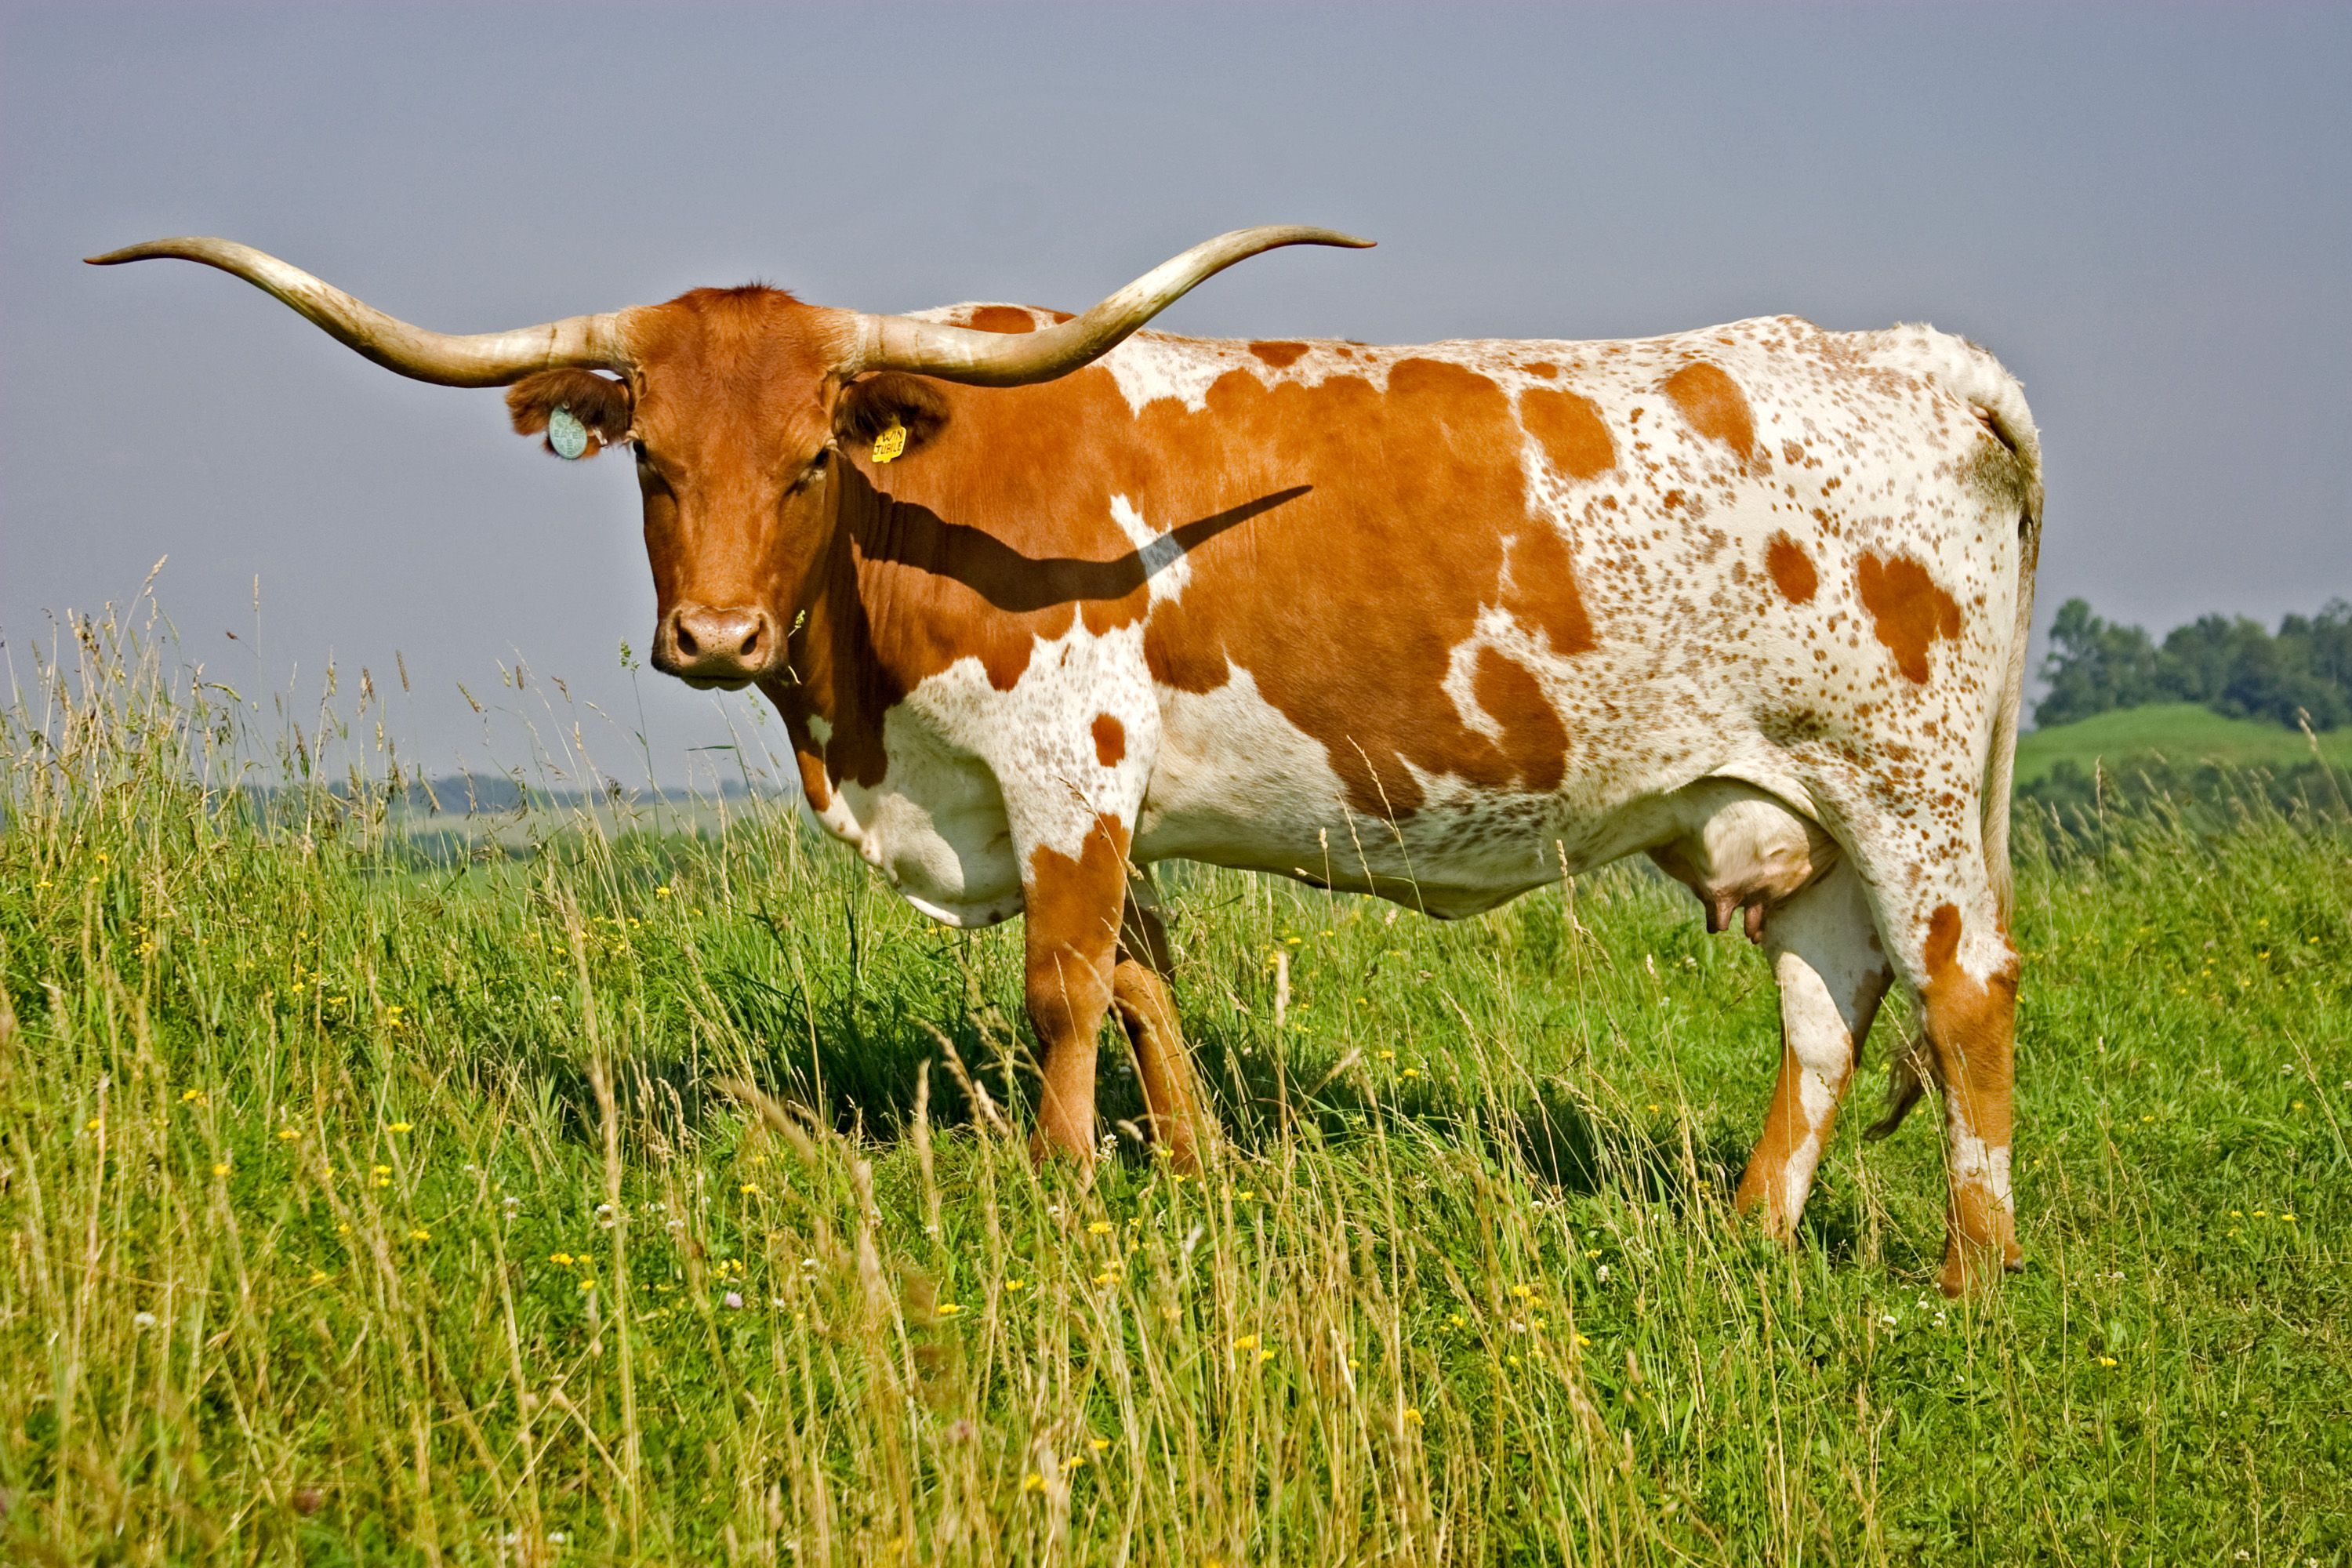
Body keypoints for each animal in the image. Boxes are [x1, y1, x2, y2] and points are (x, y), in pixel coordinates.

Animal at [92, 228, 2042, 1294]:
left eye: (812, 455)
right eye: (650, 456)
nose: (711, 635)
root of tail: (1917, 360)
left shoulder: (1067, 767)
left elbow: (1059, 983)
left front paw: (1062, 1191)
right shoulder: (1107, 805)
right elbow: (1149, 982)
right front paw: (1188, 1185)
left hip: (1909, 787)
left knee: (1965, 991)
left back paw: (1968, 1275)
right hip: (1792, 806)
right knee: (1828, 1004)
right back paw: (1754, 1239)